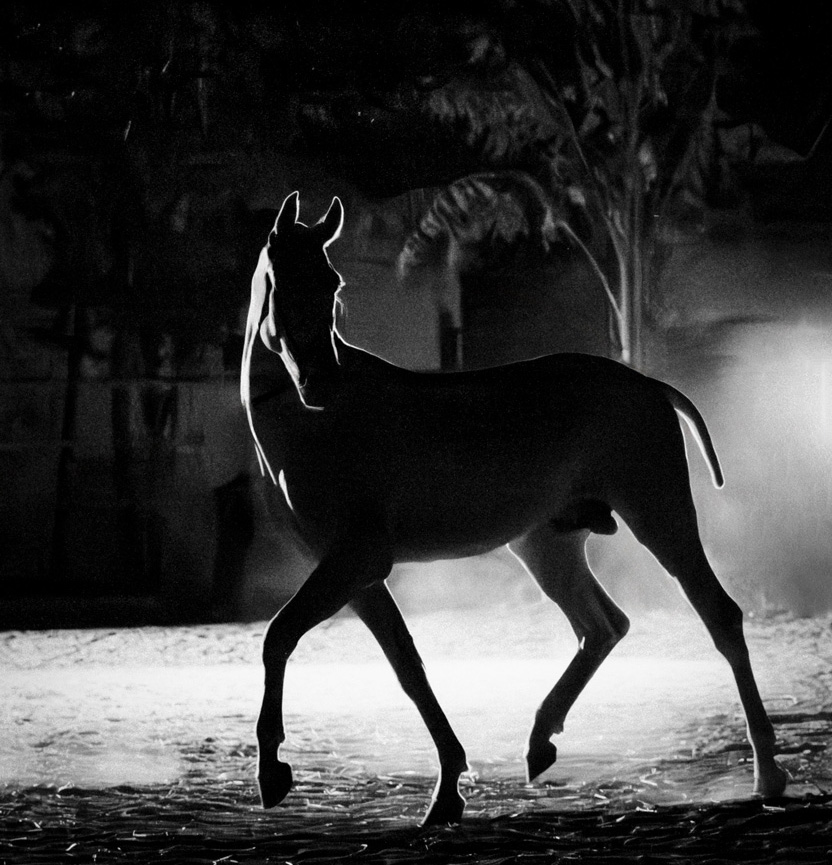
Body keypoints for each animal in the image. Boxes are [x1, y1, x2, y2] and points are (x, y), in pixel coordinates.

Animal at [240, 191, 787, 825]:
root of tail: (650, 385)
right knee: (602, 626)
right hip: (547, 545)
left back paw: (768, 775)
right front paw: (448, 788)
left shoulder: (355, 559)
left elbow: (278, 636)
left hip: (659, 515)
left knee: (720, 617)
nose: (321, 383)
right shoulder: (355, 574)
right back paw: (541, 738)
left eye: (331, 282)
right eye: (282, 280)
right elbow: (407, 667)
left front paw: (272, 770)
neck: (311, 425)